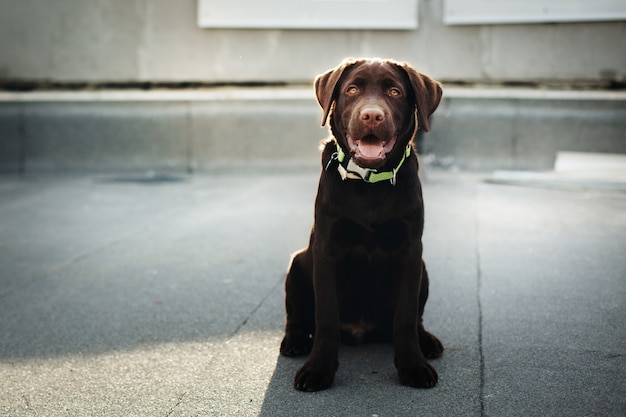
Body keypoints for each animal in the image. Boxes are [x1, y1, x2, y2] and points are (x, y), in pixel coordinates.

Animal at [280, 57, 442, 390]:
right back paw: (294, 340)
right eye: (352, 89)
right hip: (298, 264)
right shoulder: (326, 250)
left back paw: (426, 341)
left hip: (423, 268)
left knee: (414, 319)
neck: (370, 184)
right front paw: (318, 368)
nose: (371, 115)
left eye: (394, 92)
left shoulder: (411, 252)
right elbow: (326, 317)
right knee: (296, 315)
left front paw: (413, 365)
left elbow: (406, 316)